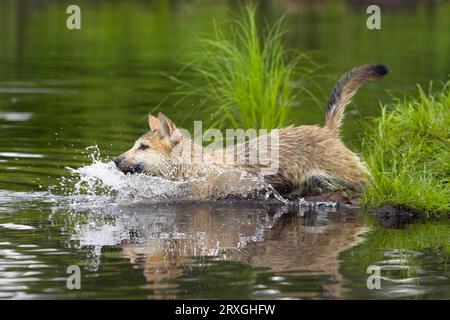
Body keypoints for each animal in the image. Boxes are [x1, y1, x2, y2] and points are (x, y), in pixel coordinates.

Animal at [112, 63, 386, 196]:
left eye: (143, 146)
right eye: (135, 144)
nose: (115, 160)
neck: (193, 165)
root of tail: (326, 131)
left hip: (351, 174)